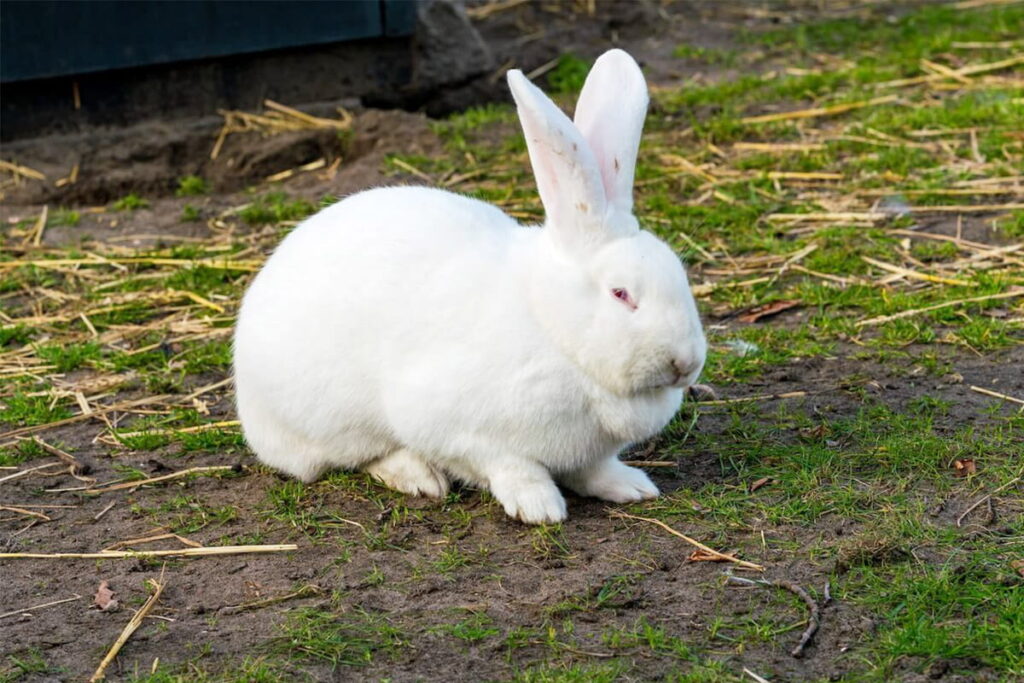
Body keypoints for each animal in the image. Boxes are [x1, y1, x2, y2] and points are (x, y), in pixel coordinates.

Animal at [233, 49, 707, 524]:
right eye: (621, 294)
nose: (685, 363)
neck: (552, 327)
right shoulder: (457, 429)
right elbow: (509, 465)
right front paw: (539, 507)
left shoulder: (587, 453)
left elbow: (593, 469)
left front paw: (631, 487)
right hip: (332, 424)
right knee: (355, 457)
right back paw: (419, 477)